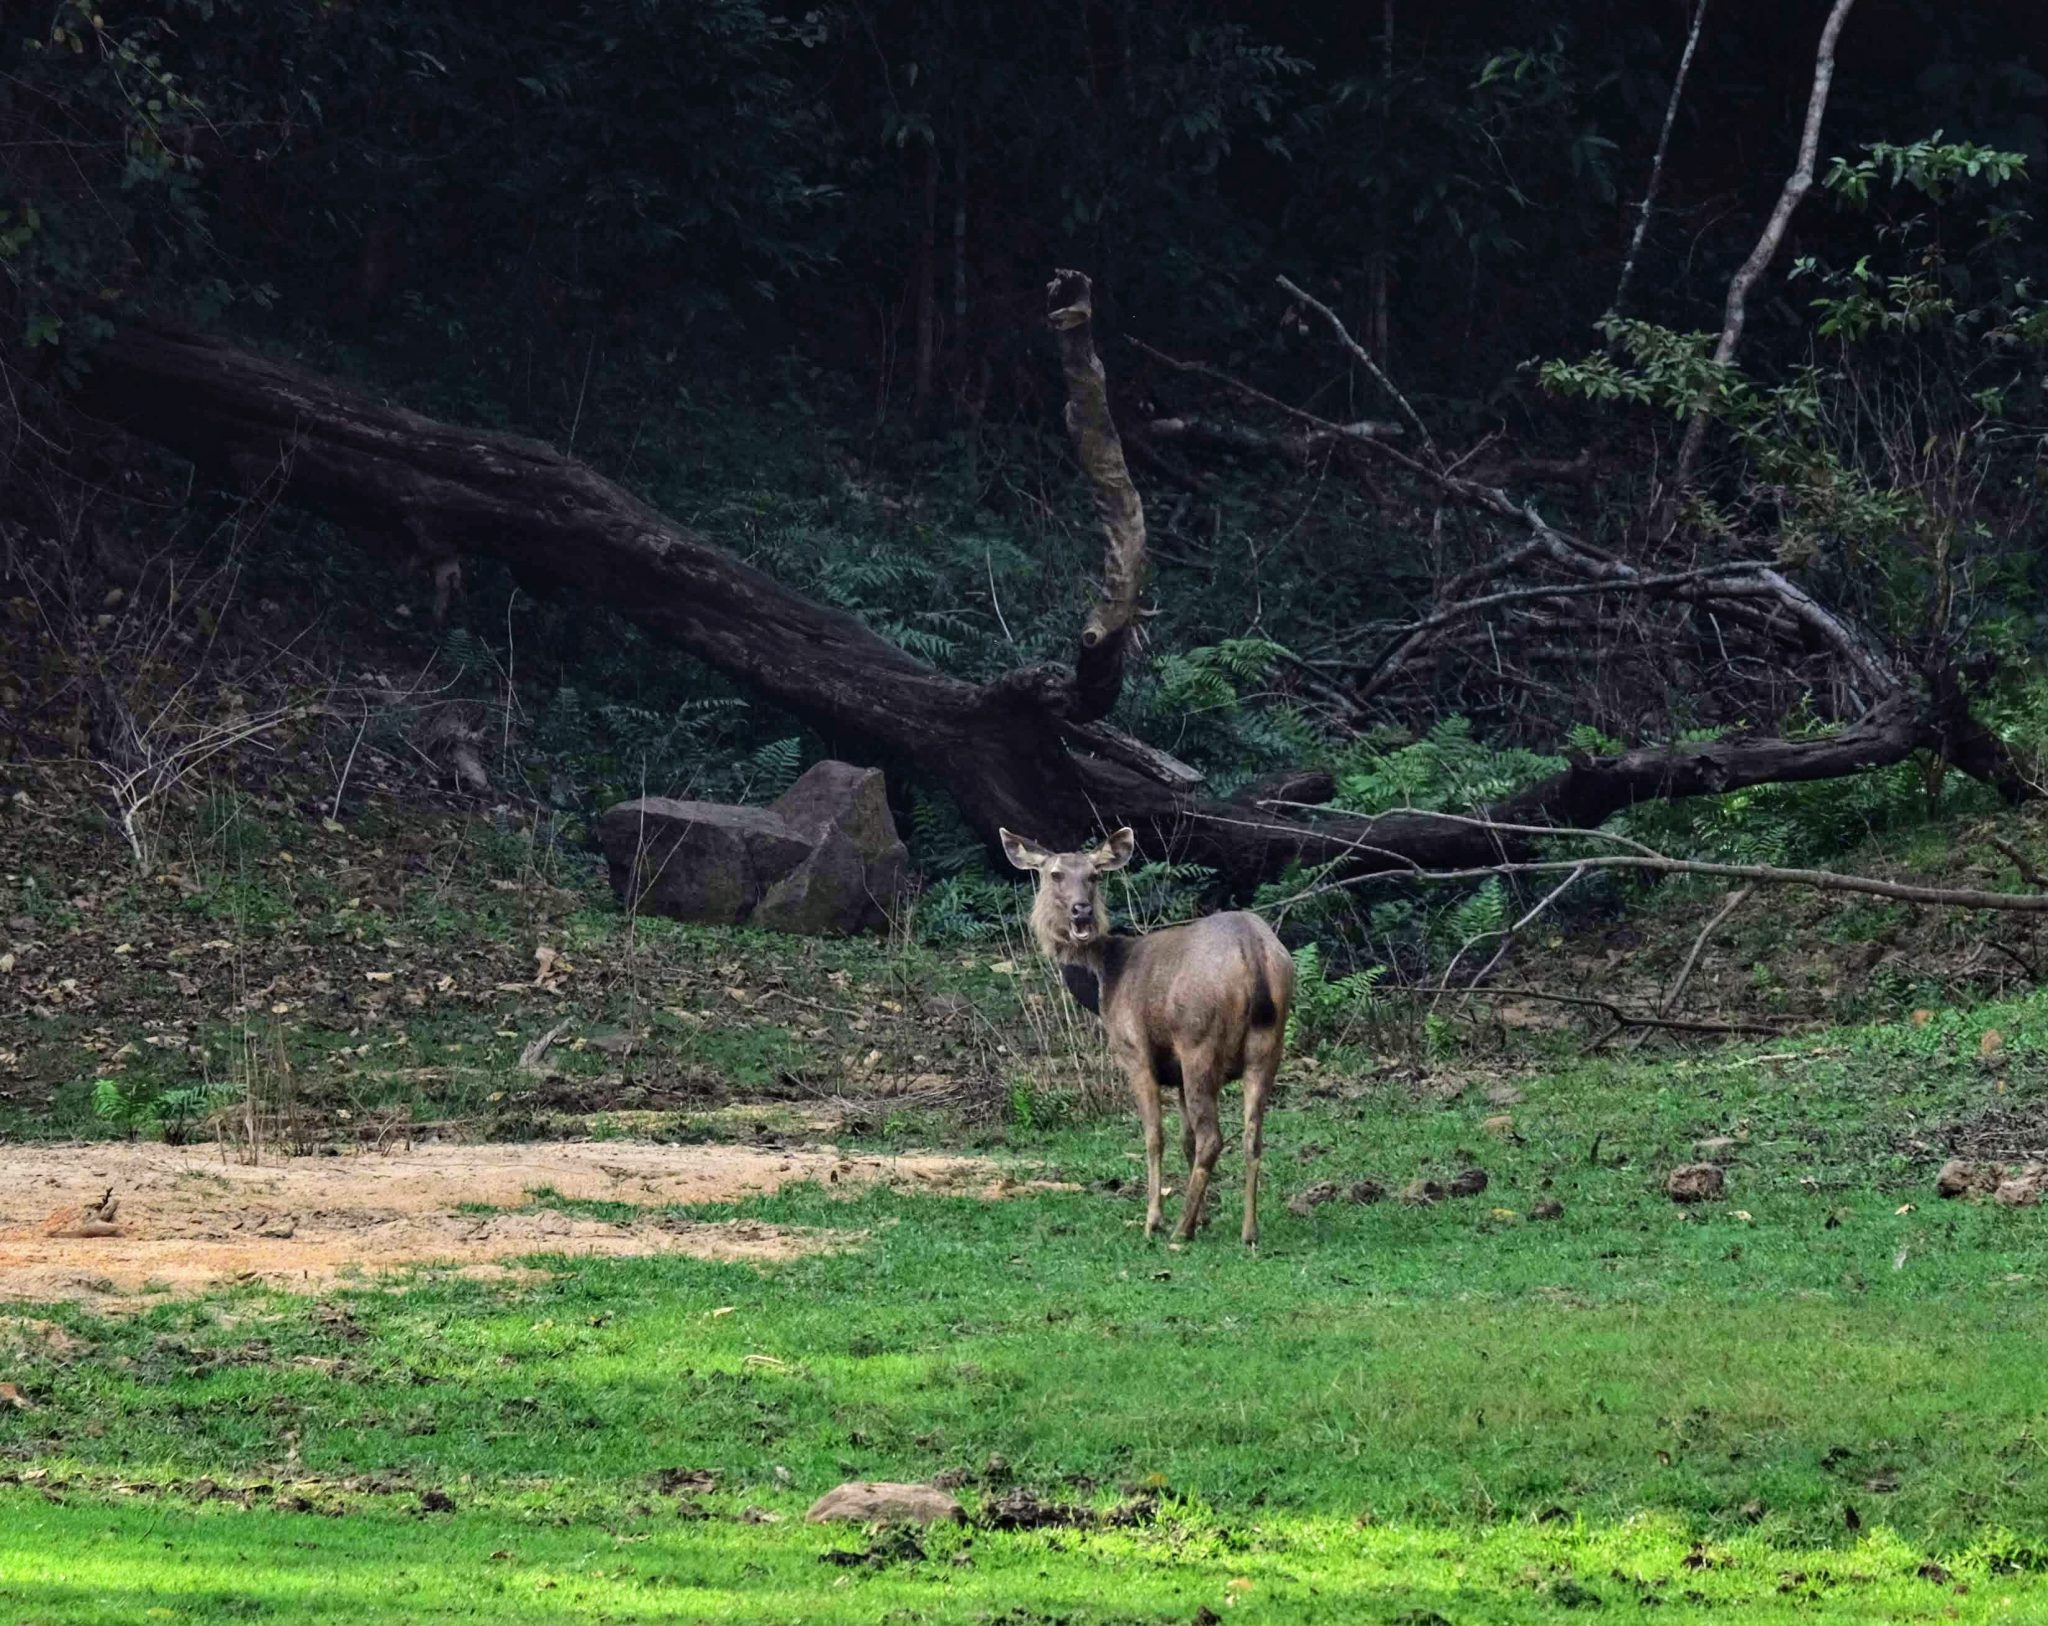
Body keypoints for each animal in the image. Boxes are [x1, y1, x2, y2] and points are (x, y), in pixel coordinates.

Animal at [999, 823, 1286, 1245]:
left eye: (1094, 875)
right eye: (1055, 874)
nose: (1081, 910)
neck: (1105, 980)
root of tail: (1252, 950)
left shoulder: (1135, 1052)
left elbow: (1154, 1137)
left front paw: (1155, 1219)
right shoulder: (1177, 1074)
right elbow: (1185, 1140)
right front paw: (1203, 1218)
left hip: (1199, 1039)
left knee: (1214, 1138)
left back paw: (1178, 1232)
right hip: (1268, 1046)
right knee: (1252, 1136)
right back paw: (1248, 1231)